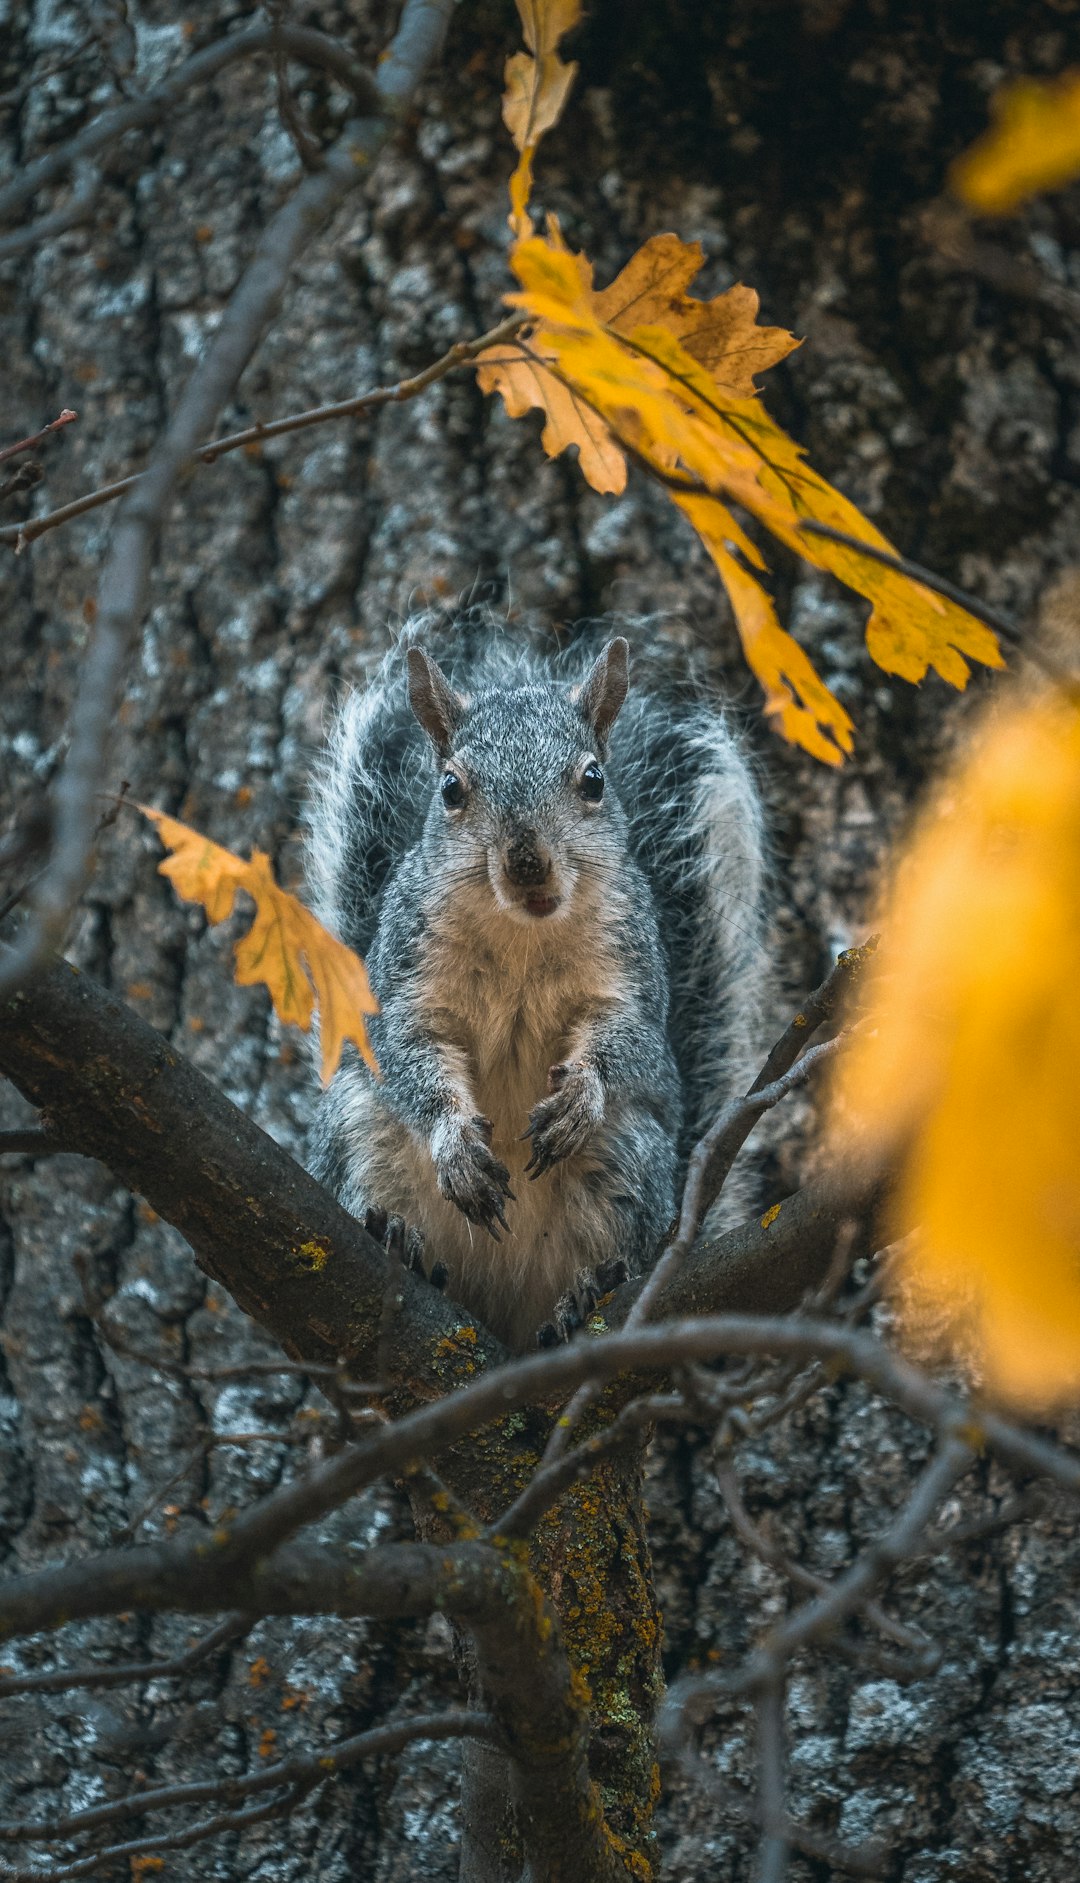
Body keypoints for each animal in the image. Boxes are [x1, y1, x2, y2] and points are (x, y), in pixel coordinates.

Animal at [301, 617, 767, 1355]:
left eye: (594, 779)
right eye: (451, 788)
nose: (527, 861)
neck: (522, 932)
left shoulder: (632, 974)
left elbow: (633, 1044)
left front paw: (581, 1094)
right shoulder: (405, 978)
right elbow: (404, 1049)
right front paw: (456, 1142)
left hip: (628, 1163)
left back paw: (587, 1294)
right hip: (356, 1130)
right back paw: (397, 1239)